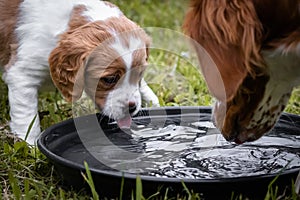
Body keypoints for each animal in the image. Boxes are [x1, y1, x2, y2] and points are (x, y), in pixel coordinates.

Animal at [0, 0, 159, 145]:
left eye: (140, 74)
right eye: (109, 79)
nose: (132, 108)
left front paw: (152, 101)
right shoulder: (22, 74)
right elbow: (26, 115)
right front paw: (29, 144)